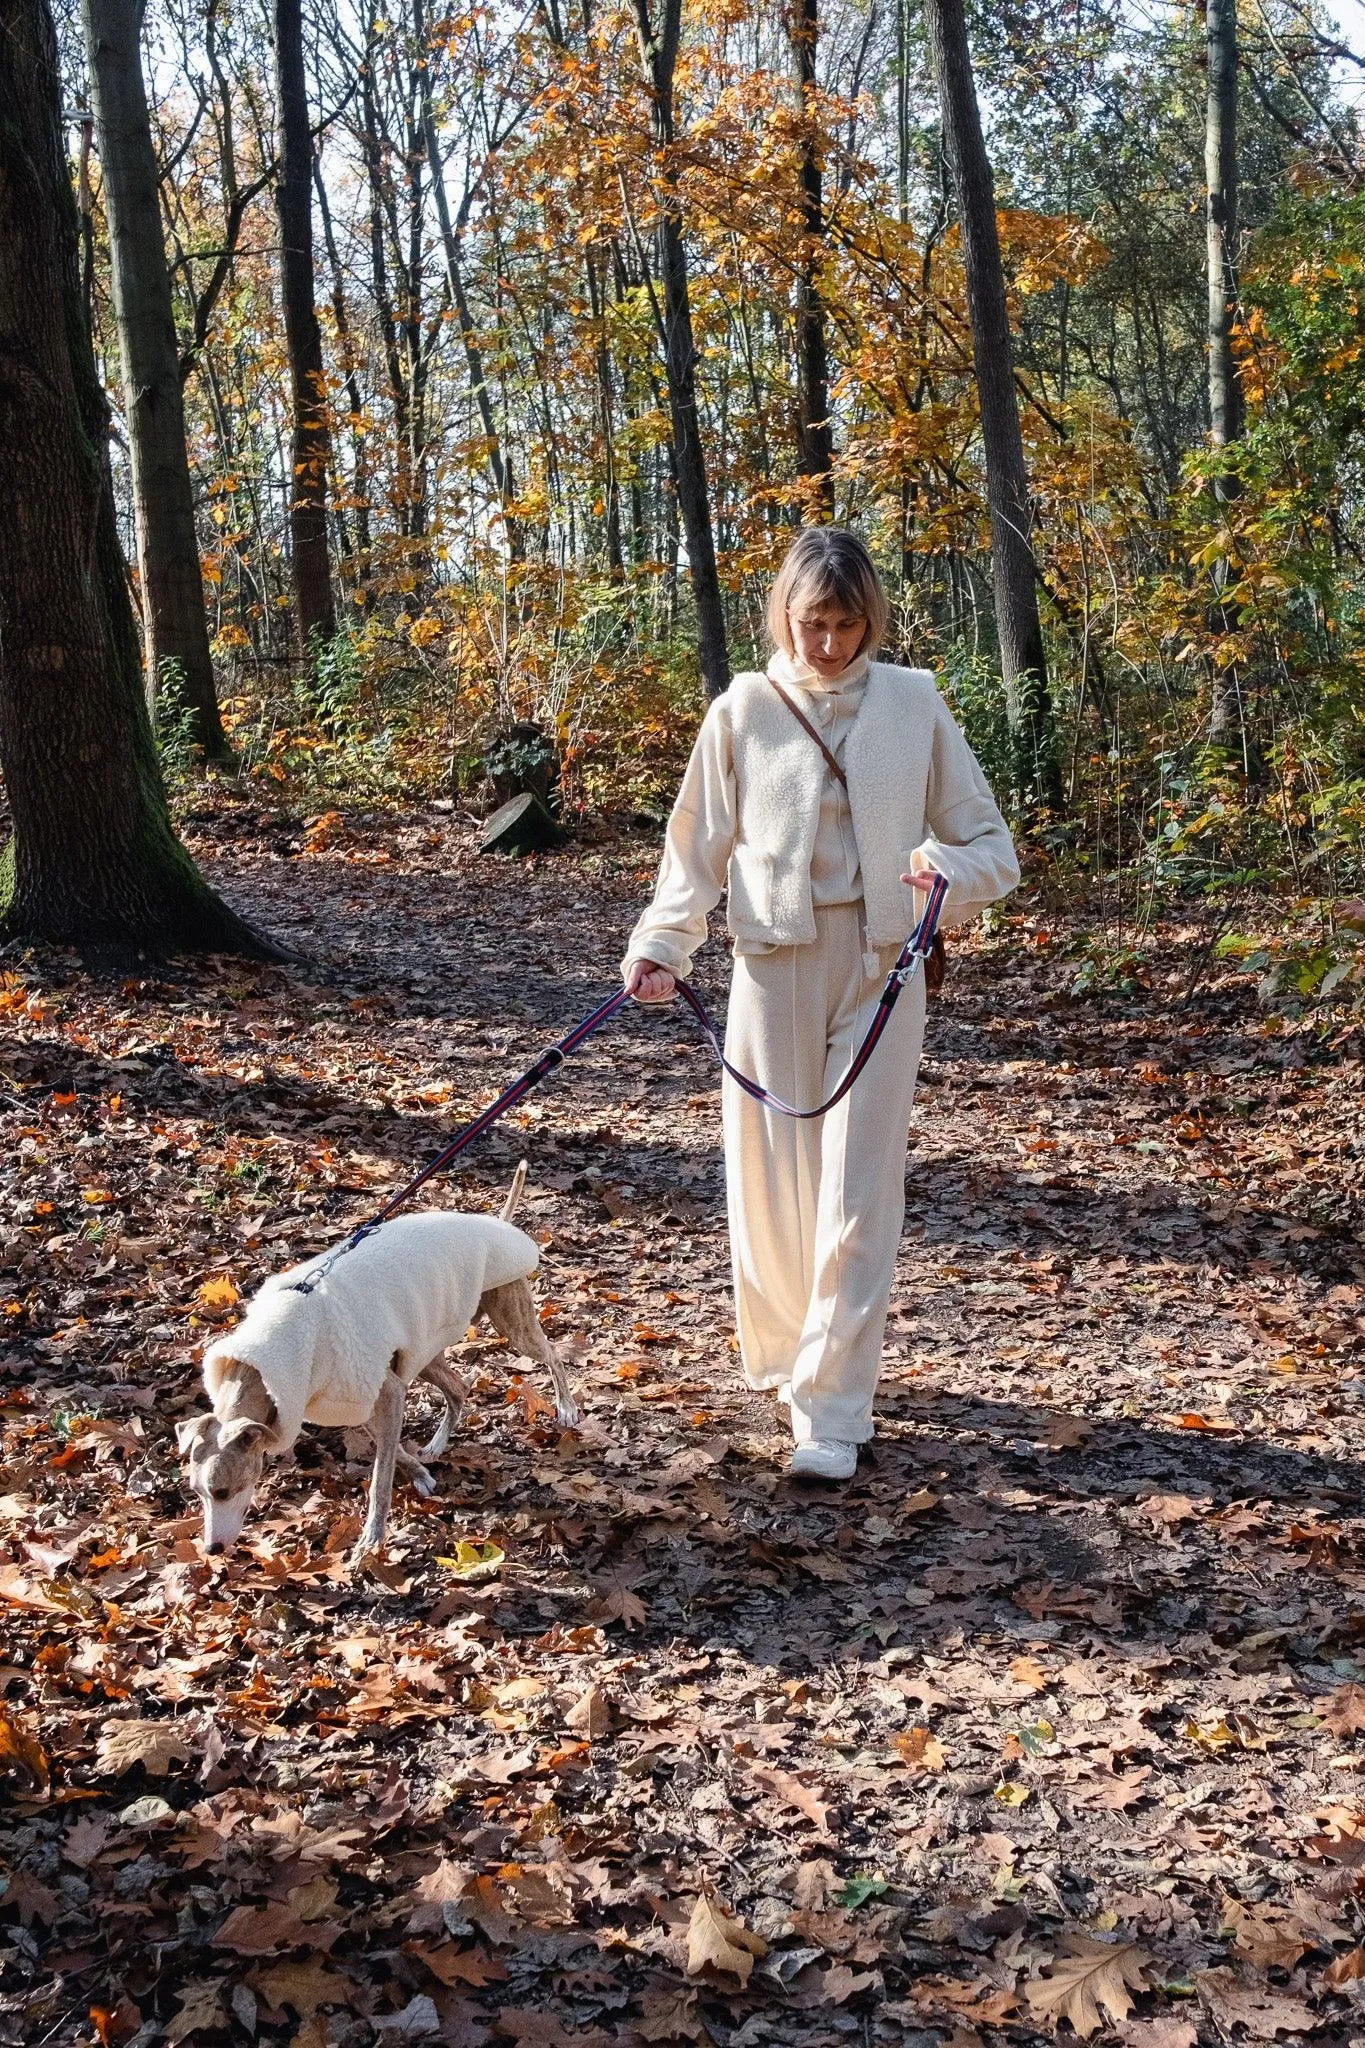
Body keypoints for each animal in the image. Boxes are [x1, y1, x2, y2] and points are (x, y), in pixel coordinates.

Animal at [174, 1163, 573, 1556]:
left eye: (223, 1490)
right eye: (197, 1492)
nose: (211, 1549)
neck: (263, 1361)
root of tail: (498, 1225)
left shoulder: (383, 1389)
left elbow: (381, 1477)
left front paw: (372, 1538)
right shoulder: (354, 1399)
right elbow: (393, 1451)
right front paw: (420, 1476)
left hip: (511, 1320)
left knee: (553, 1355)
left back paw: (567, 1408)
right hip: (426, 1348)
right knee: (459, 1388)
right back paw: (437, 1444)